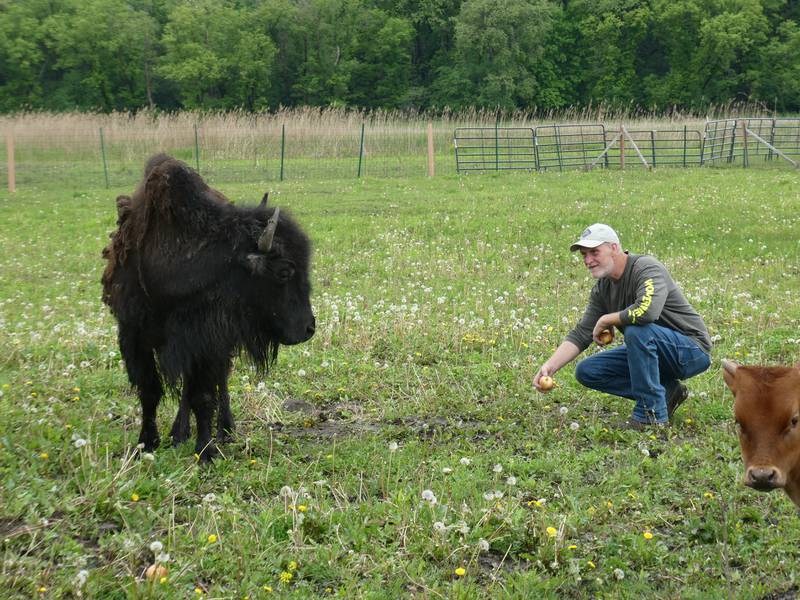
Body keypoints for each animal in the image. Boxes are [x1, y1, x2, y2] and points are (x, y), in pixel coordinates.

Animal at [104, 155, 318, 460]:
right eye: (284, 271)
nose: (309, 327)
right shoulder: (134, 336)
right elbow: (150, 390)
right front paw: (146, 442)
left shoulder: (206, 341)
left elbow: (203, 396)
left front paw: (205, 451)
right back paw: (179, 432)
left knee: (218, 382)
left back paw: (224, 430)